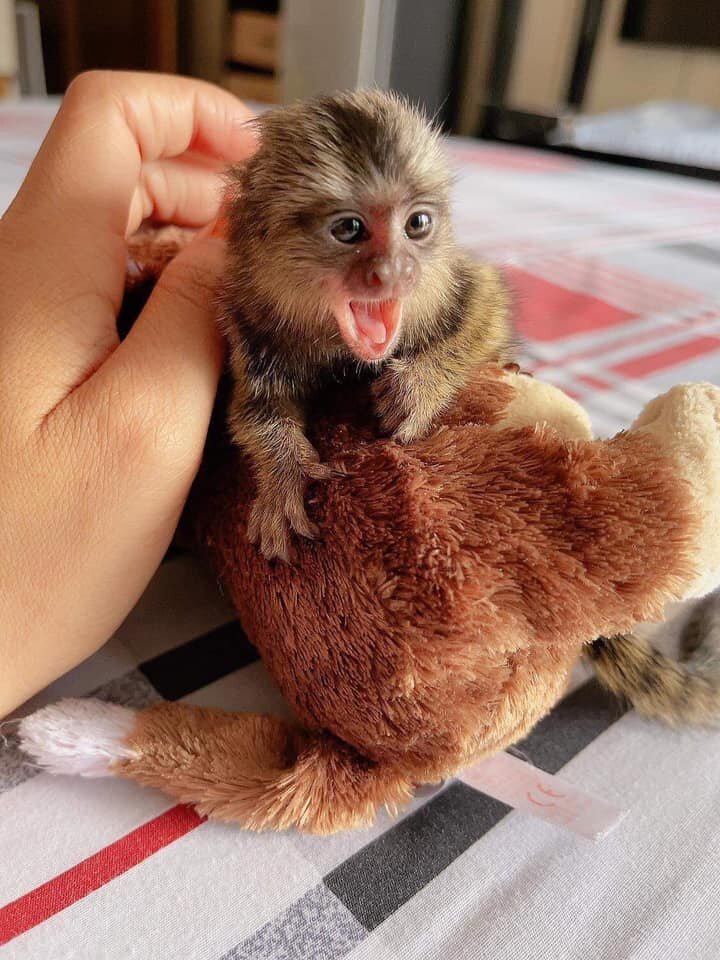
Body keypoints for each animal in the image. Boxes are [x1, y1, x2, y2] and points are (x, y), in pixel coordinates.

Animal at [219, 89, 511, 563]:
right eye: (350, 228)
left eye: (417, 224)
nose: (395, 270)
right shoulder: (249, 325)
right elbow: (255, 408)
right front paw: (285, 473)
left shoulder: (453, 282)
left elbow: (487, 306)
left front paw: (416, 388)